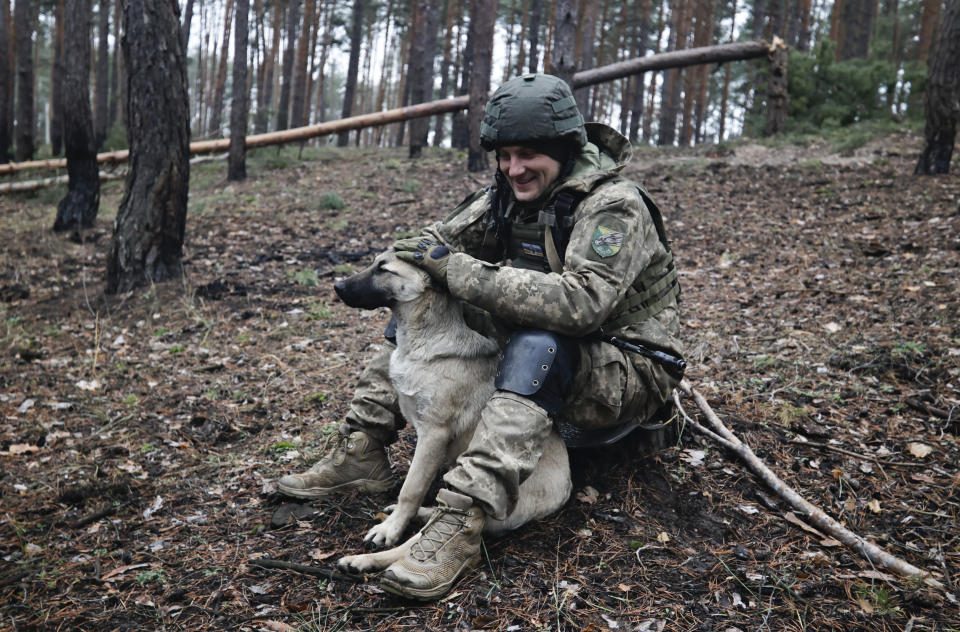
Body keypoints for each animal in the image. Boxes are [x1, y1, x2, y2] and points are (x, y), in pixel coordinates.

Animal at [332, 249, 568, 576]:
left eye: (384, 269)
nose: (337, 286)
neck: (423, 340)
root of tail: (566, 490)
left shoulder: (433, 434)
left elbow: (411, 488)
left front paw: (391, 528)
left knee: (428, 533)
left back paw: (365, 560)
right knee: (439, 511)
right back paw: (421, 515)